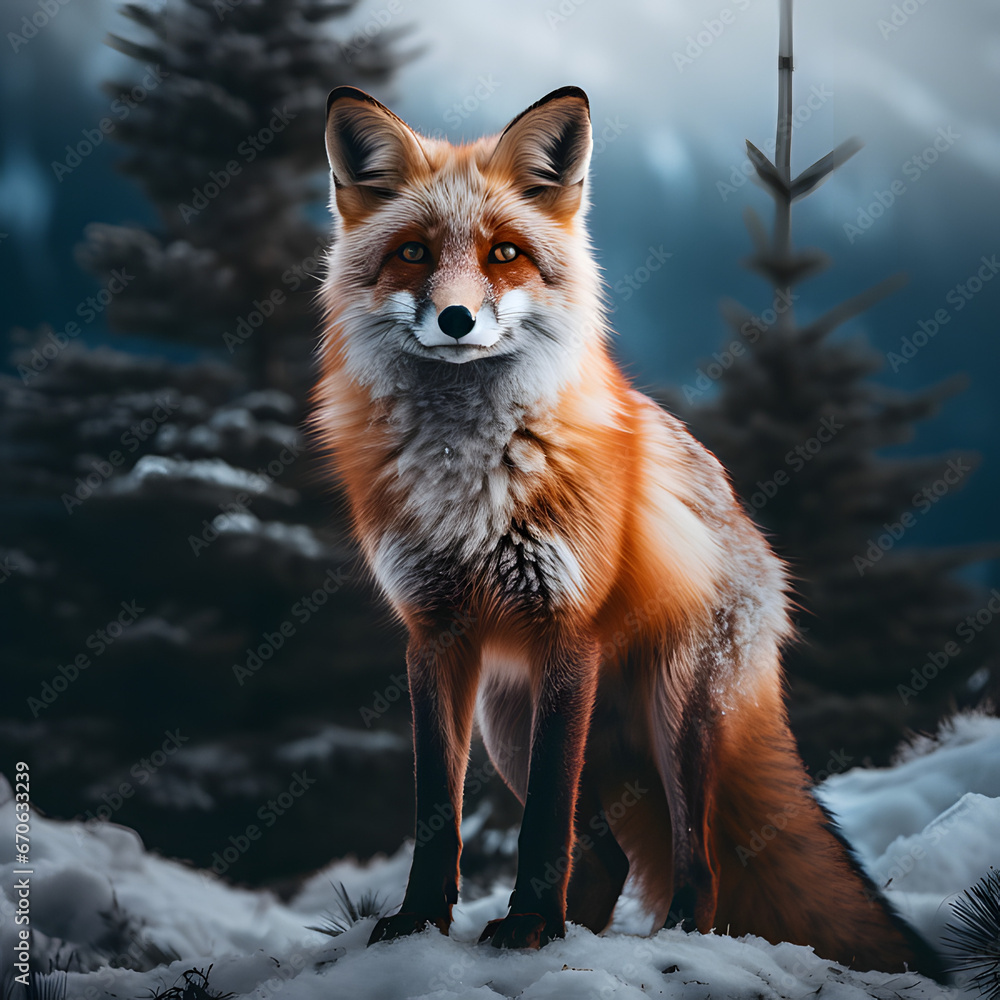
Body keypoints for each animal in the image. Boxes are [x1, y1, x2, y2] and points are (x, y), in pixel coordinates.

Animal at [312, 84, 945, 977]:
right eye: (411, 253)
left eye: (505, 253)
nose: (457, 318)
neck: (466, 473)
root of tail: (759, 545)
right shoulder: (434, 637)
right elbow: (437, 811)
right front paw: (422, 923)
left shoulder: (565, 629)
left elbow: (544, 819)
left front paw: (531, 924)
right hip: (510, 725)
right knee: (608, 857)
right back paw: (570, 932)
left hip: (677, 716)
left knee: (699, 862)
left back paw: (670, 935)